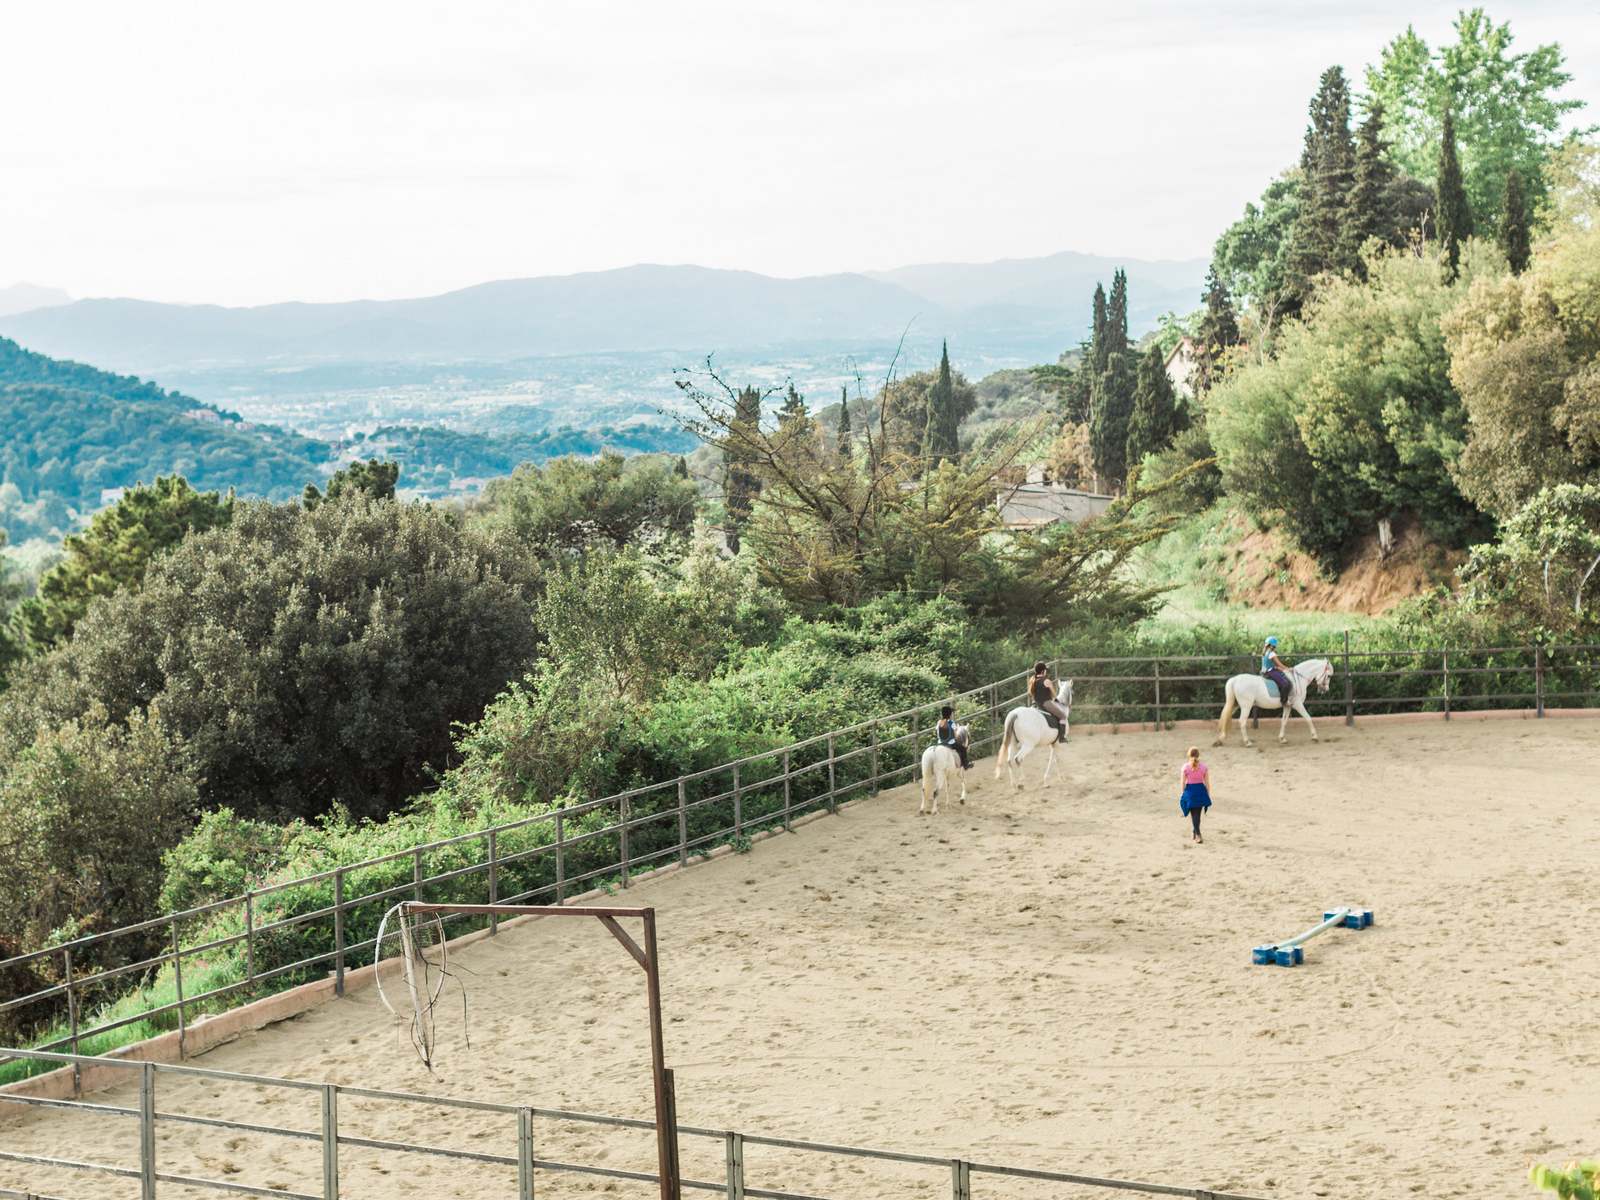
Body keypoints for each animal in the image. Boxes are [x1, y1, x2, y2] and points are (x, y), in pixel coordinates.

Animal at [1209, 662, 1337, 748]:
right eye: (1329, 676)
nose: (1325, 690)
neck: (1298, 680)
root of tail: (1235, 680)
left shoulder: (1287, 706)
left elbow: (1284, 721)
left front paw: (1282, 739)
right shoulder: (1297, 704)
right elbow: (1308, 718)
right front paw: (1314, 737)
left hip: (1235, 704)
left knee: (1225, 718)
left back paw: (1219, 740)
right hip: (1246, 706)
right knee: (1242, 721)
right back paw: (1247, 742)